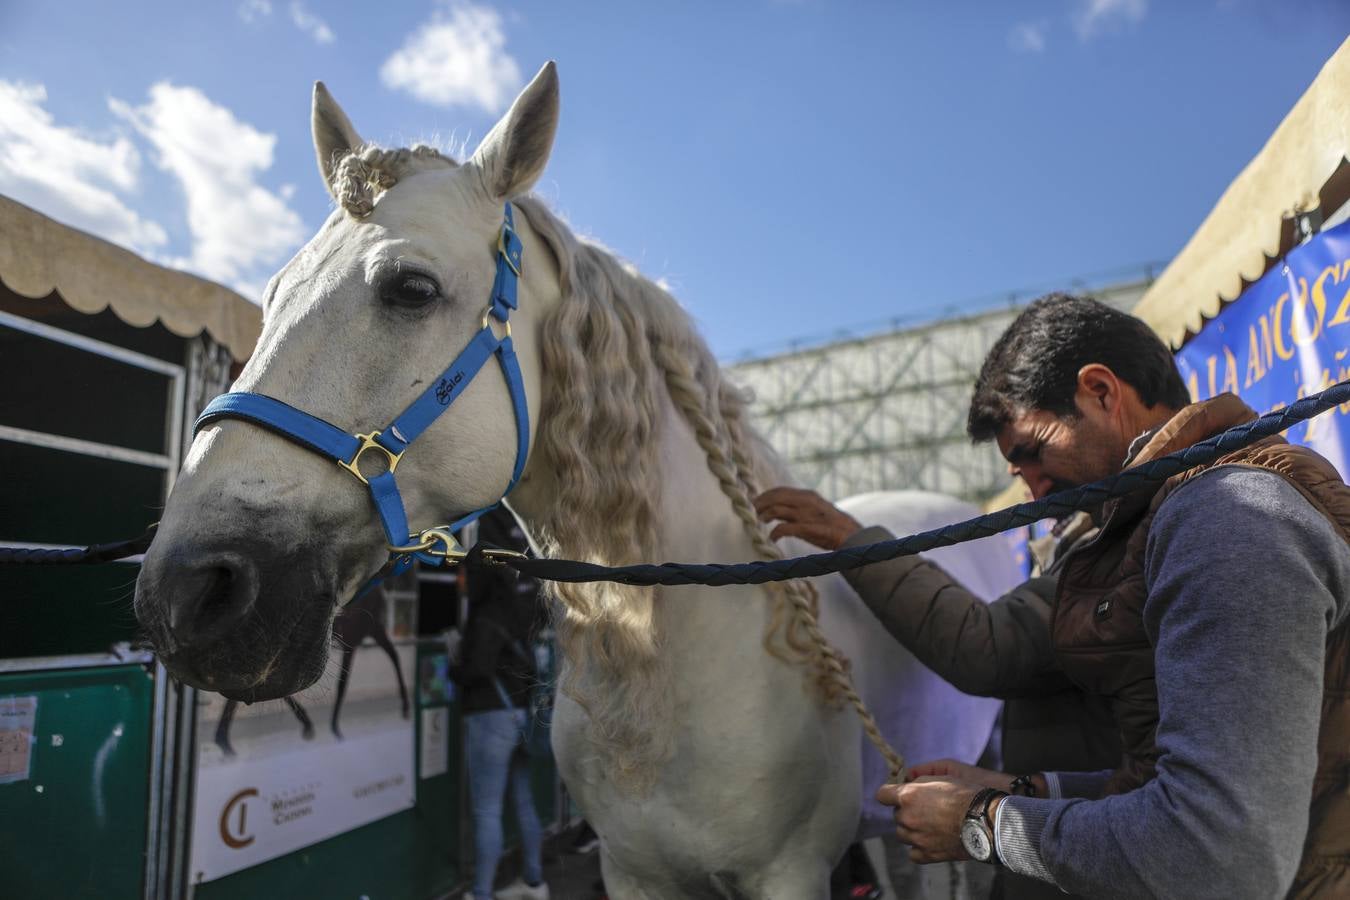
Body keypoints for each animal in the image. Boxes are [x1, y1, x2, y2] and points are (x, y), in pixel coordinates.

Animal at [132, 62, 1021, 897]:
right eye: (275, 294)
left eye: (411, 288)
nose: (187, 590)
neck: (682, 663)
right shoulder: (635, 874)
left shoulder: (791, 875)